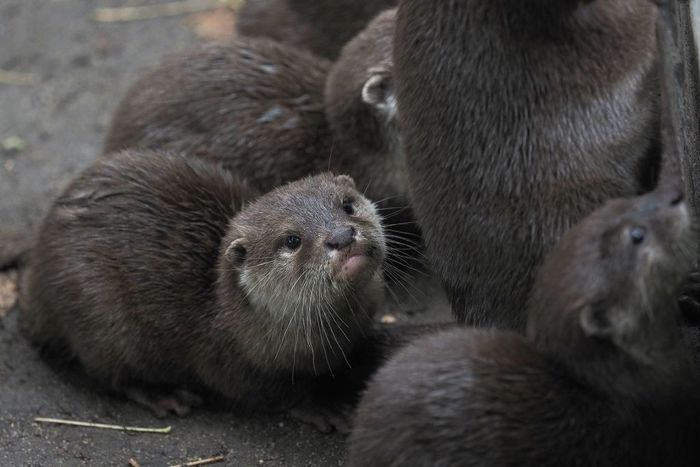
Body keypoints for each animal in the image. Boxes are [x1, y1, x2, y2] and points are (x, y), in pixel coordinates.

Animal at [20, 150, 386, 428]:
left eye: (347, 205)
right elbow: (274, 392)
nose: (341, 236)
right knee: (110, 374)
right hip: (100, 313)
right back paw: (164, 395)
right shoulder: (231, 362)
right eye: (292, 240)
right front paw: (322, 405)